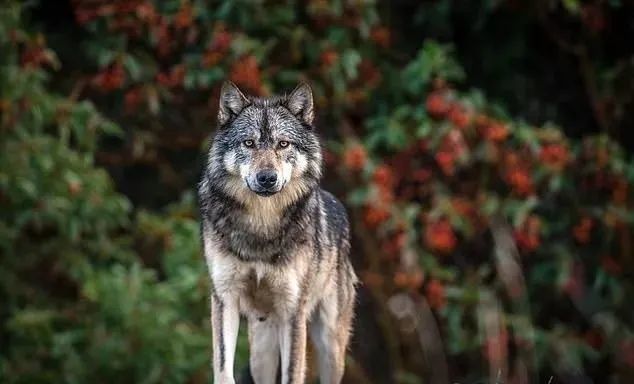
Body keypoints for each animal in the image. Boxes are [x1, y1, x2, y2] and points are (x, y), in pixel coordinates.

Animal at [198, 82, 356, 384]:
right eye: (248, 143)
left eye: (283, 144)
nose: (267, 178)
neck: (262, 224)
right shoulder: (224, 298)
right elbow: (223, 367)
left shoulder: (293, 310)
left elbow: (293, 373)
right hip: (260, 352)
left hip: (330, 345)